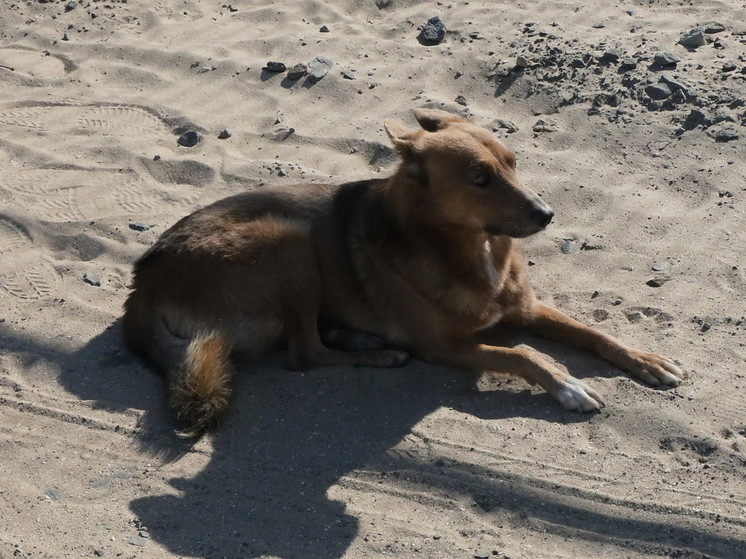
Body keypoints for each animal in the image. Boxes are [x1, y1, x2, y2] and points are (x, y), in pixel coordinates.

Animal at [123, 108, 684, 434]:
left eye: (514, 162)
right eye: (479, 178)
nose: (547, 215)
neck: (469, 247)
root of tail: (143, 279)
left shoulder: (524, 307)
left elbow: (593, 333)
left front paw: (645, 359)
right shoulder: (443, 346)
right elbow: (521, 354)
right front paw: (566, 384)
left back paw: (357, 337)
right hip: (289, 240)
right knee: (302, 354)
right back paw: (379, 352)